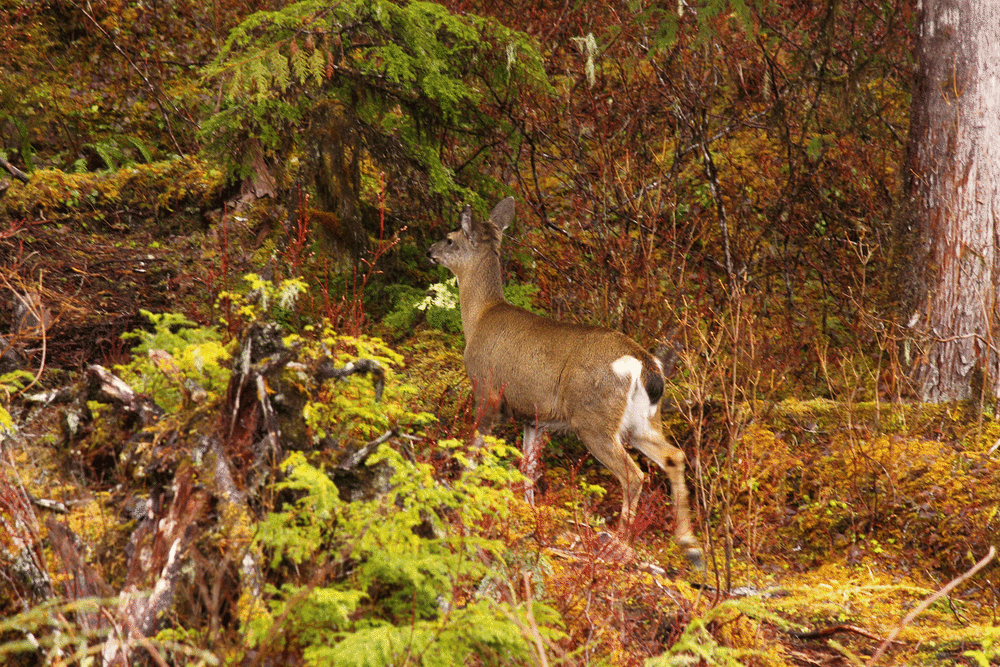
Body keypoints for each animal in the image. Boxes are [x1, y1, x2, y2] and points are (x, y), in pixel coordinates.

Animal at [426, 198, 700, 564]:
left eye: (451, 238)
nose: (429, 250)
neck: (480, 317)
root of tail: (646, 365)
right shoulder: (533, 417)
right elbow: (528, 467)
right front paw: (528, 512)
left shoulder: (487, 391)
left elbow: (474, 451)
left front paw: (461, 493)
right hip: (641, 421)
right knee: (674, 456)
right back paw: (689, 544)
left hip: (593, 418)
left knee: (633, 474)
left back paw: (618, 545)